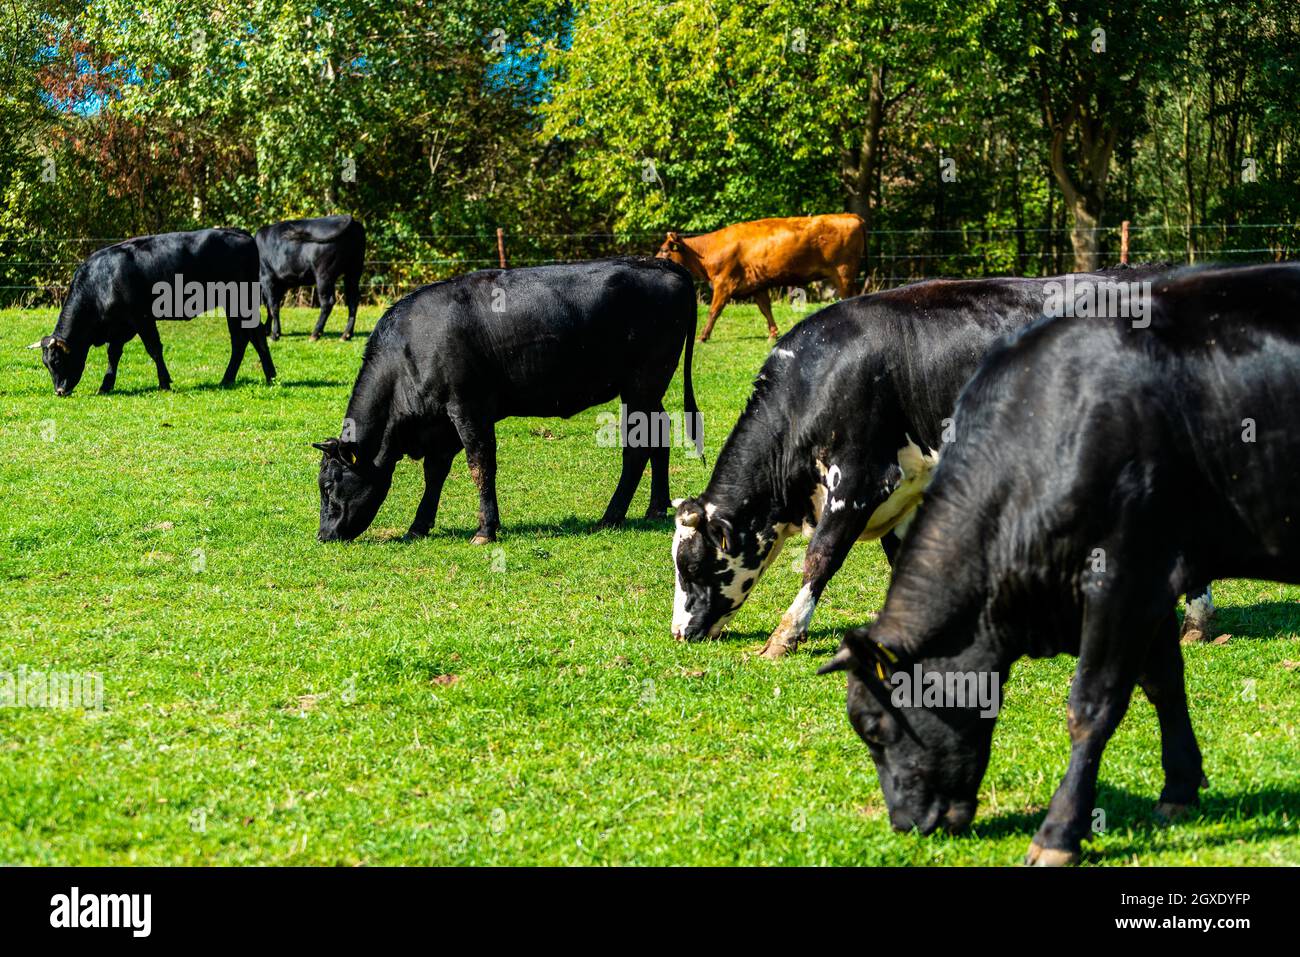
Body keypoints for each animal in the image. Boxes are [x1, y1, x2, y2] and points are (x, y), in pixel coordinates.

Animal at [33, 228, 273, 396]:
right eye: (46, 364)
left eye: (57, 361)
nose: (59, 391)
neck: (101, 281)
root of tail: (240, 233)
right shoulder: (120, 326)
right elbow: (113, 354)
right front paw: (106, 384)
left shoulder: (142, 318)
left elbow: (154, 348)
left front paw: (164, 382)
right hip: (233, 305)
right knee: (242, 338)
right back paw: (232, 378)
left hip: (241, 301)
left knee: (254, 334)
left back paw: (267, 376)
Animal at [314, 257, 700, 543]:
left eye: (329, 486)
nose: (323, 535)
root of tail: (659, 263)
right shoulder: (441, 424)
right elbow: (435, 473)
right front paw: (418, 526)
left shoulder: (467, 408)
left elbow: (480, 465)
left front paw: (486, 529)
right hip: (647, 390)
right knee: (658, 436)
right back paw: (655, 507)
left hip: (642, 383)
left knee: (636, 449)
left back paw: (611, 516)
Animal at [655, 214, 865, 342]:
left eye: (665, 250)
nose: (653, 261)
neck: (708, 252)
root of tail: (850, 216)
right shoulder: (756, 285)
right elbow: (766, 309)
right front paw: (773, 334)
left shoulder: (724, 284)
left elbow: (714, 311)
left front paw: (703, 337)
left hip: (843, 273)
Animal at [669, 265, 1213, 658]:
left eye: (691, 565)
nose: (677, 632)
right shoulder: (903, 491)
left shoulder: (859, 480)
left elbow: (820, 558)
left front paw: (783, 637)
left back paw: (1194, 622)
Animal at [819, 261, 1300, 865]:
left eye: (873, 726)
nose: (903, 824)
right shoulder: (1155, 582)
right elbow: (1165, 683)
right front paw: (1179, 788)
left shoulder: (1123, 576)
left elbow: (1092, 707)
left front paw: (1058, 833)